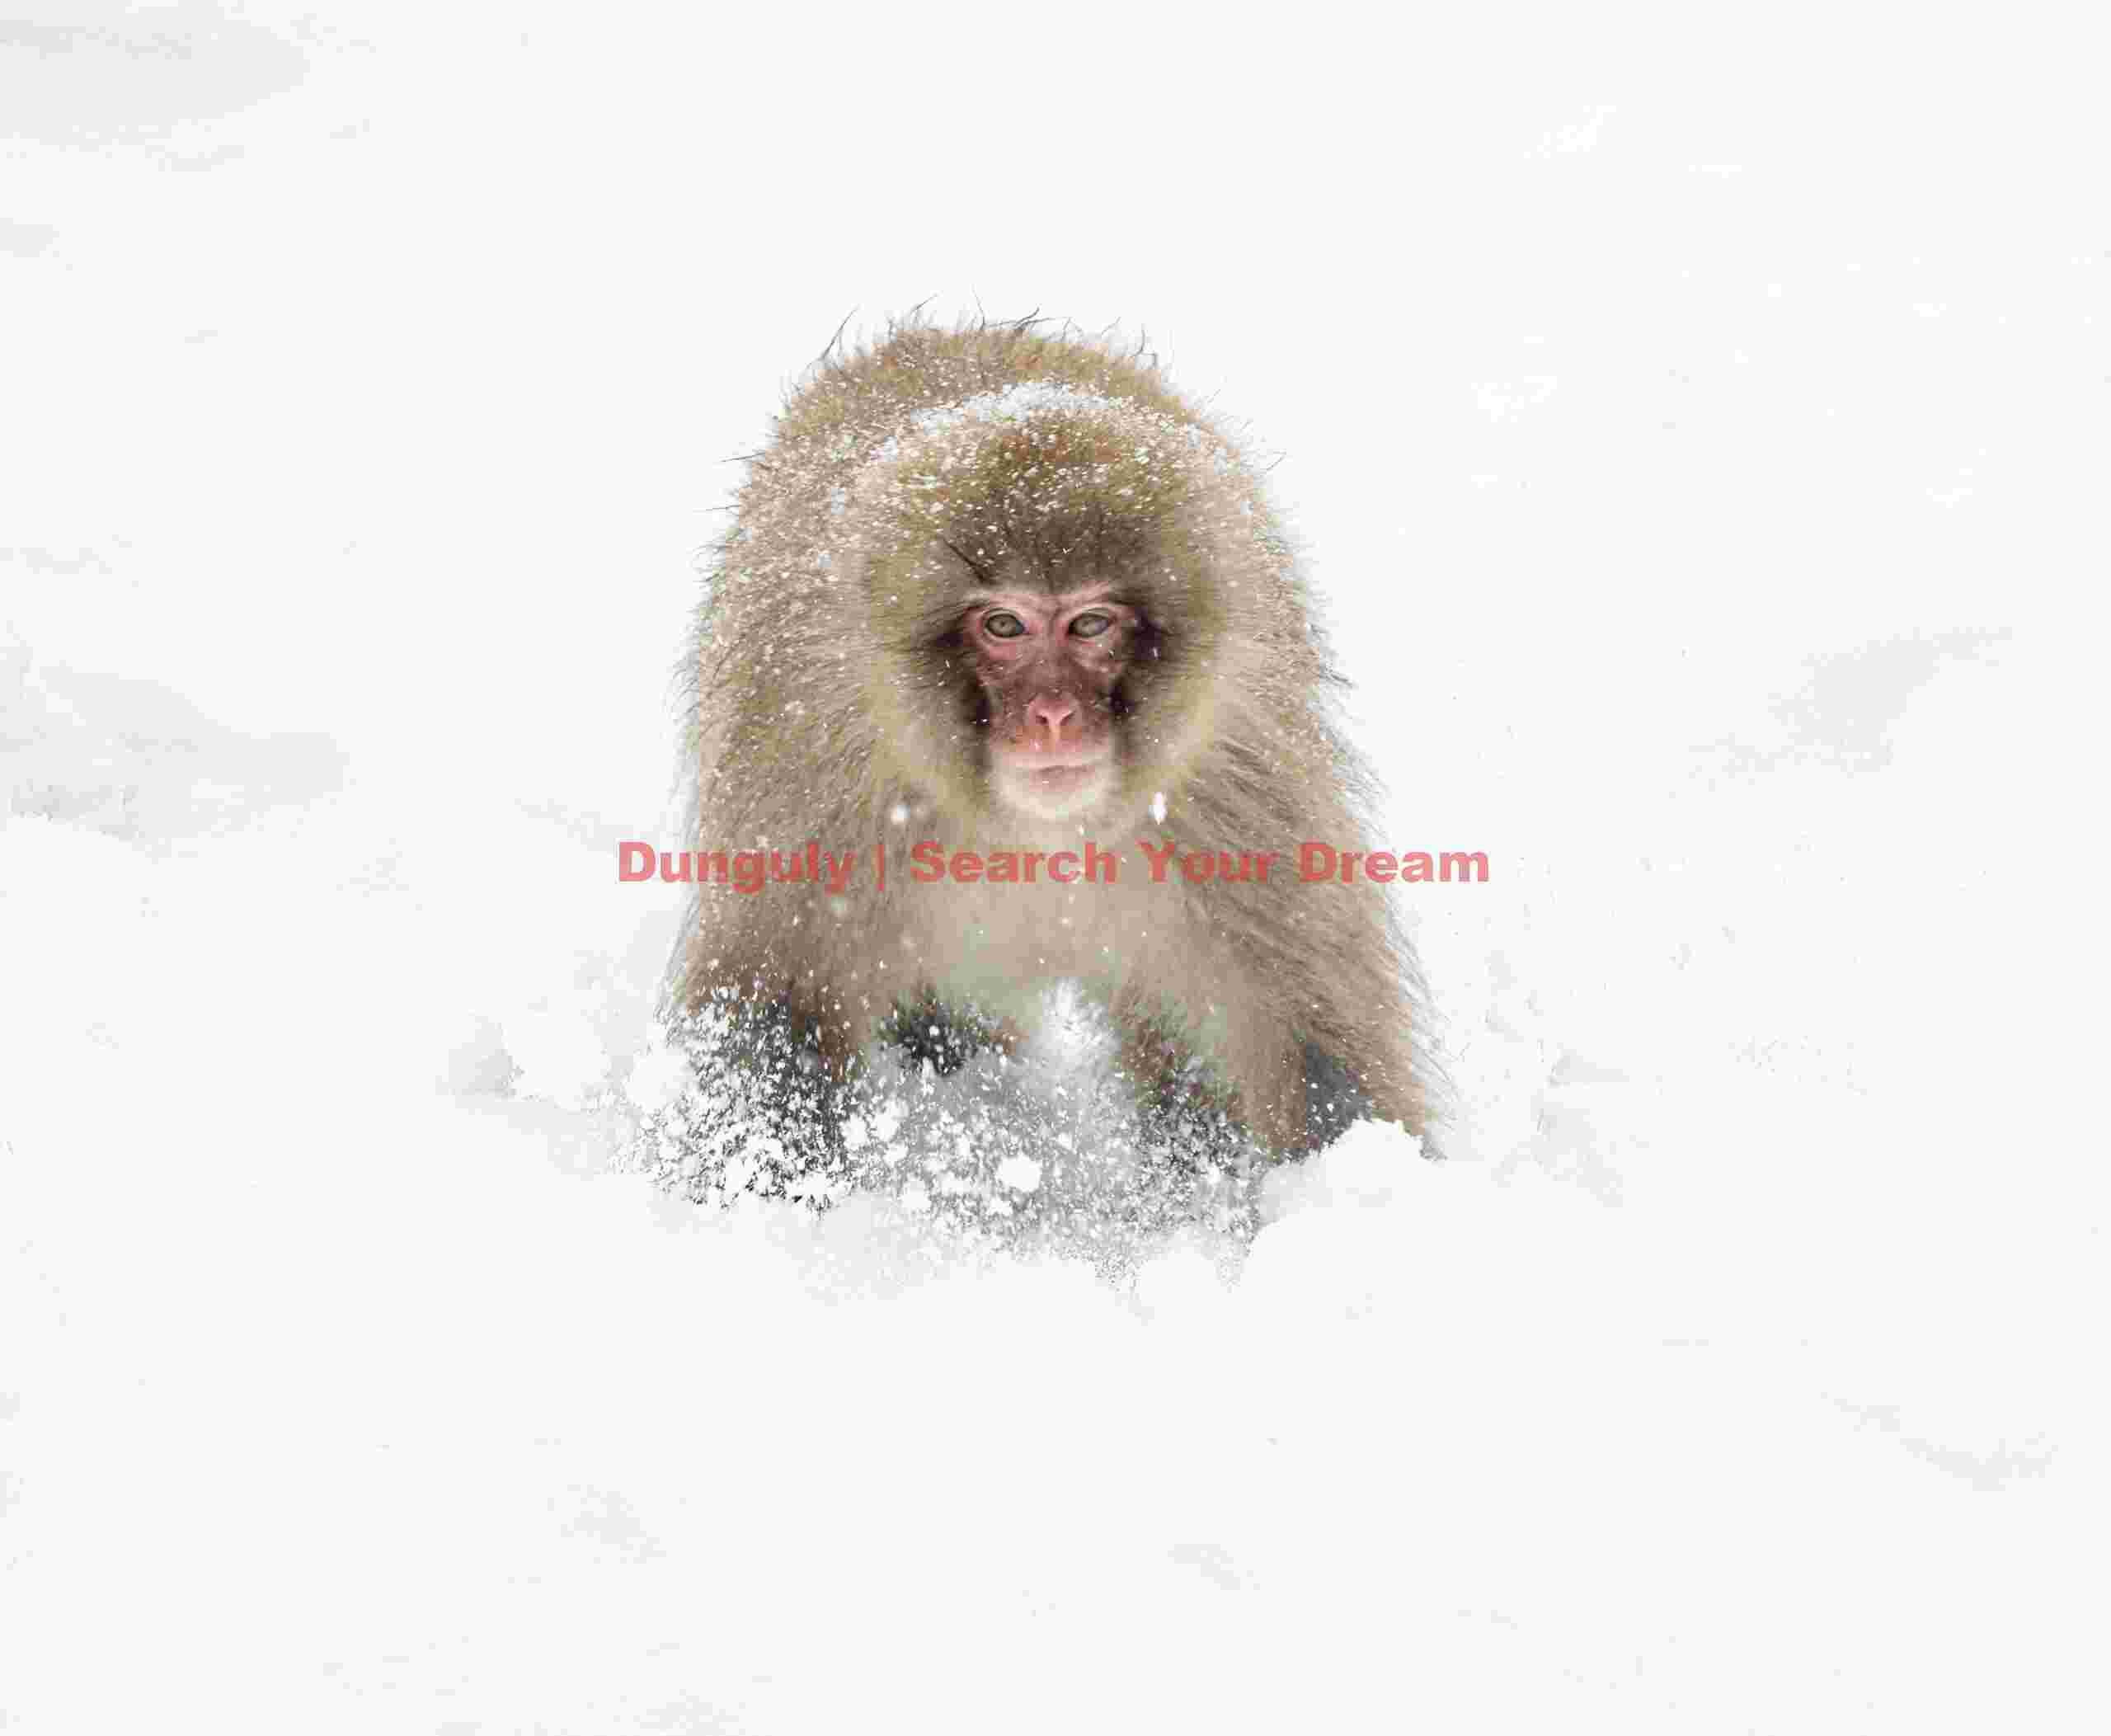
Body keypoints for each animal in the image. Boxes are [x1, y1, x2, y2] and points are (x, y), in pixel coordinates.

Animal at [667, 315, 1433, 1197]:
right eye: (1005, 625)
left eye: (1091, 624)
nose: (1054, 714)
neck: (1032, 830)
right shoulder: (816, 758)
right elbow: (778, 995)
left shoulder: (1231, 768)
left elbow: (1292, 1022)